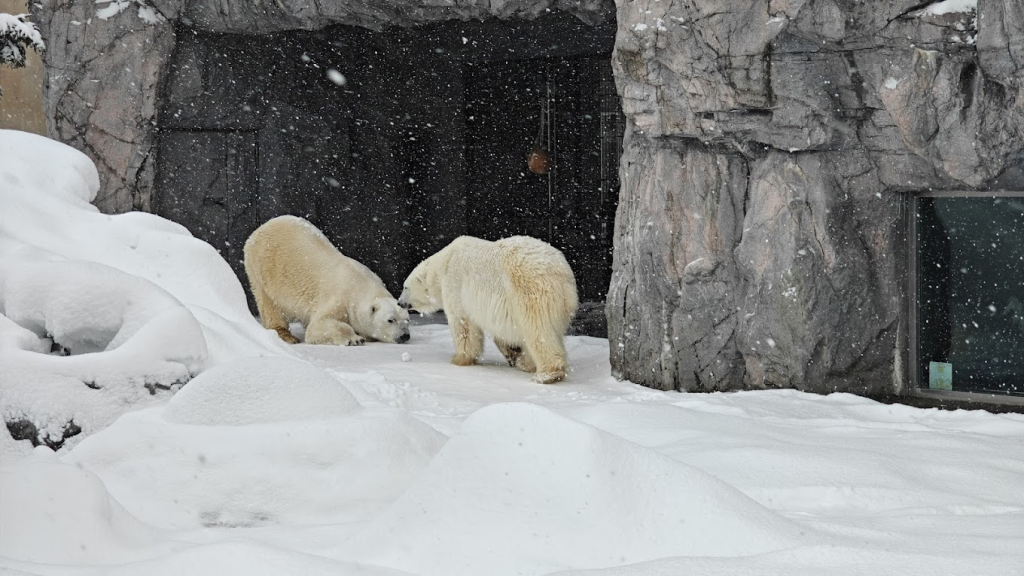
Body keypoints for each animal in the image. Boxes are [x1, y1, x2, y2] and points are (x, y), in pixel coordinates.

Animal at [243, 215, 410, 346]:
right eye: (391, 320)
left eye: (407, 320)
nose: (405, 336)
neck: (360, 283)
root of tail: (260, 229)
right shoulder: (339, 298)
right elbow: (318, 325)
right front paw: (354, 339)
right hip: (262, 271)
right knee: (271, 306)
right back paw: (286, 336)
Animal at [398, 235, 578, 383]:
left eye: (405, 287)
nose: (400, 303)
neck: (443, 264)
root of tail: (563, 274)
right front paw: (512, 352)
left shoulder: (456, 285)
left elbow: (463, 324)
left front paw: (459, 359)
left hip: (529, 290)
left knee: (537, 329)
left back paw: (547, 374)